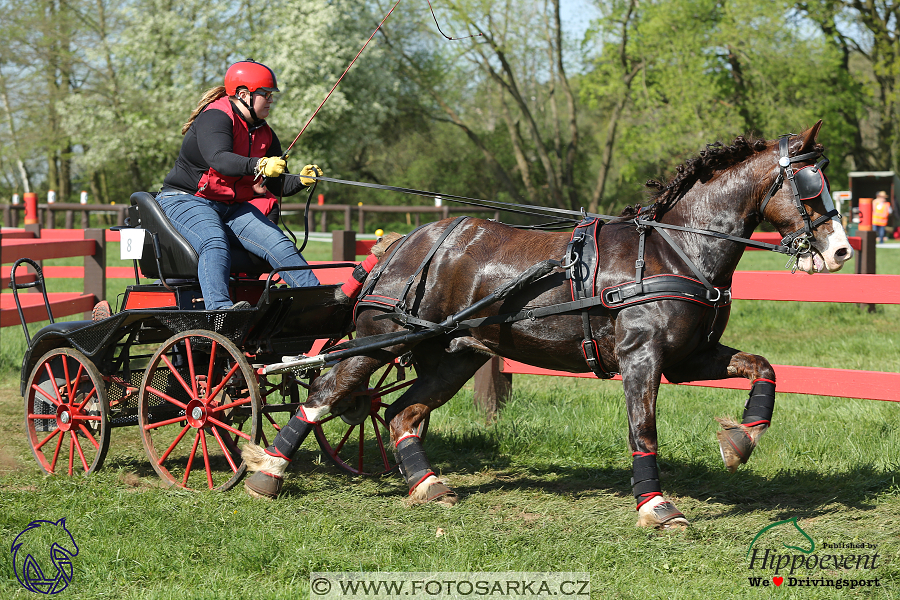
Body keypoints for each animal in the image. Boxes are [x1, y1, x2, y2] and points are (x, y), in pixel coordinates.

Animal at [244, 119, 852, 528]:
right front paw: (657, 506)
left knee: (401, 413)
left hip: (456, 354)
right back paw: (266, 473)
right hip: (376, 340)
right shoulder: (642, 358)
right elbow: (643, 429)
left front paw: (741, 440)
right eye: (810, 184)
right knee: (325, 392)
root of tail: (402, 242)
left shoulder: (690, 357)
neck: (675, 250)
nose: (841, 250)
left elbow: (764, 368)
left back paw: (427, 484)